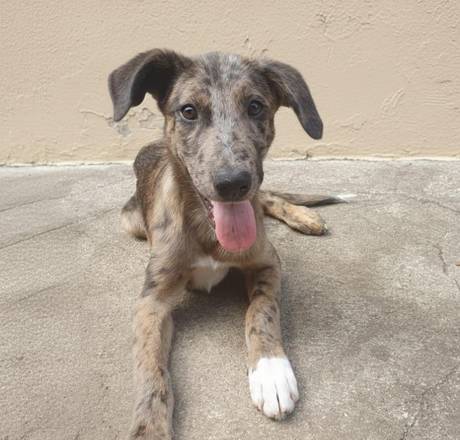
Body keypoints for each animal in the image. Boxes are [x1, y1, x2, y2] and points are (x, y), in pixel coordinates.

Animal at [109, 49, 342, 439]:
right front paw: (149, 427)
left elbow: (261, 311)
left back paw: (304, 216)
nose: (233, 183)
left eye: (255, 106)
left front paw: (271, 371)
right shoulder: (150, 302)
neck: (207, 230)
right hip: (130, 222)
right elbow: (150, 366)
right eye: (188, 111)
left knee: (268, 196)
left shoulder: (267, 262)